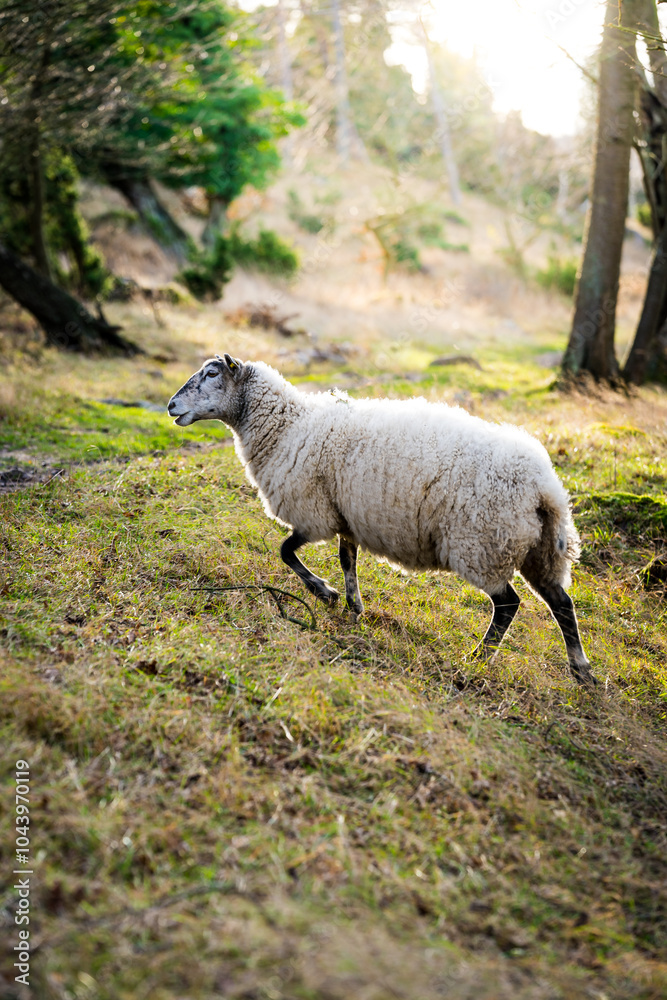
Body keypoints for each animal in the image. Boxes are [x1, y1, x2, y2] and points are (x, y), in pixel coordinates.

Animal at [168, 353, 595, 686]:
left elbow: (286, 552)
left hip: (481, 543)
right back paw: (581, 669)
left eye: (211, 373)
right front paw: (353, 604)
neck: (286, 425)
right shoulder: (345, 515)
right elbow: (347, 560)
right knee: (562, 604)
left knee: (508, 604)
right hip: (536, 549)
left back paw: (479, 655)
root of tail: (546, 487)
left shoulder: (314, 512)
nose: (171, 406)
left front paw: (324, 592)